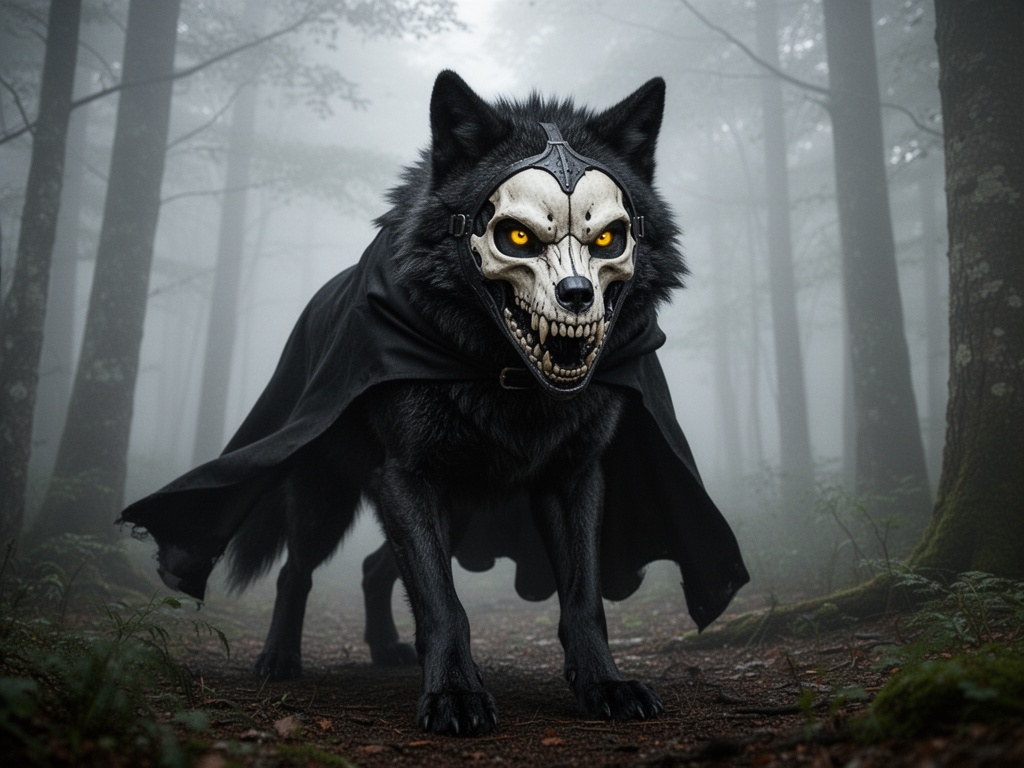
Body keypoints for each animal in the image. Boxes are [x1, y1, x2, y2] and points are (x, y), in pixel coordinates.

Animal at [119, 71, 748, 736]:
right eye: (517, 236)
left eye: (607, 238)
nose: (577, 295)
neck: (508, 381)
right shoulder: (408, 477)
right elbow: (443, 602)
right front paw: (454, 695)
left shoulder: (574, 479)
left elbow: (584, 598)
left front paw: (604, 684)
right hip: (331, 500)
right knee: (297, 570)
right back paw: (279, 660)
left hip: (459, 508)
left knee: (373, 569)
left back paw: (386, 649)